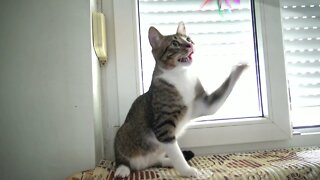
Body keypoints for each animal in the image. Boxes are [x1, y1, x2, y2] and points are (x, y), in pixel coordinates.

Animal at [114, 21, 249, 178]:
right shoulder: (164, 126)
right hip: (123, 133)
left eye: (188, 39)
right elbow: (176, 153)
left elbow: (224, 89)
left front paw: (239, 68)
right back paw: (122, 170)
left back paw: (168, 161)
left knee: (158, 161)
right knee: (123, 160)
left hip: (155, 156)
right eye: (175, 43)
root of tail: (143, 166)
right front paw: (189, 171)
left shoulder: (205, 105)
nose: (190, 45)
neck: (181, 75)